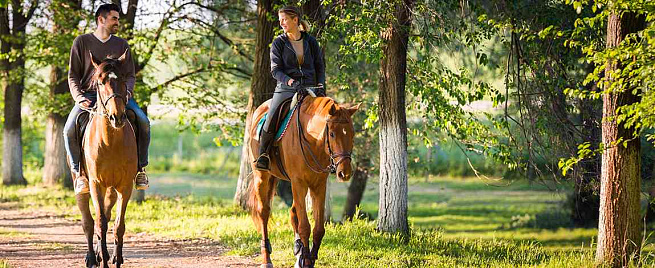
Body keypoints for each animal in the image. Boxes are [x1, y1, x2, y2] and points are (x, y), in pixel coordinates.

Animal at [76, 50, 138, 268]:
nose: (116, 117)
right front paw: (101, 260)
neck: (110, 142)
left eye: (123, 80)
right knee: (89, 221)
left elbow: (118, 225)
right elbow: (100, 223)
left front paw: (116, 259)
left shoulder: (125, 186)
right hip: (84, 185)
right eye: (100, 82)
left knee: (107, 213)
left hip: (111, 189)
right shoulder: (96, 184)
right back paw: (91, 257)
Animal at [249, 92, 358, 268]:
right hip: (262, 177)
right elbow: (305, 226)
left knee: (293, 212)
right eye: (332, 134)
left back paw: (298, 250)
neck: (312, 140)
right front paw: (306, 260)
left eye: (352, 134)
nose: (345, 173)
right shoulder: (299, 183)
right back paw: (267, 259)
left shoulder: (318, 185)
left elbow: (318, 228)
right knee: (264, 212)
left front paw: (308, 258)